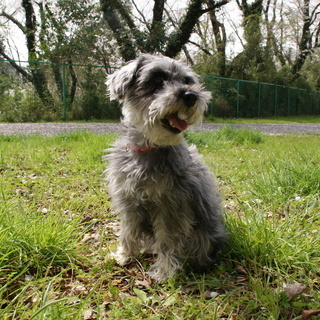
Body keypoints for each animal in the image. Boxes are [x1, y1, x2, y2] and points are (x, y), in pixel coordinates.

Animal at [106, 55, 226, 282]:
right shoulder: (129, 201)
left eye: (187, 81)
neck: (149, 148)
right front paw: (124, 254)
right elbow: (128, 231)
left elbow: (168, 240)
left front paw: (164, 270)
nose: (191, 96)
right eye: (157, 80)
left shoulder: (170, 205)